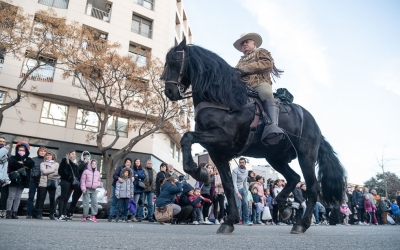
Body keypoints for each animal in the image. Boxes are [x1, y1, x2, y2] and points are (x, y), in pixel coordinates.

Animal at [161, 39, 346, 234]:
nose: (169, 91)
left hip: (306, 156)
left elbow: (187, 137)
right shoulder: (216, 152)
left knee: (312, 188)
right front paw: (229, 221)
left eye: (175, 60)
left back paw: (301, 224)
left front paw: (199, 172)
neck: (222, 99)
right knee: (294, 178)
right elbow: (228, 186)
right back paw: (284, 207)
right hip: (275, 157)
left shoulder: (223, 138)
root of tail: (314, 125)